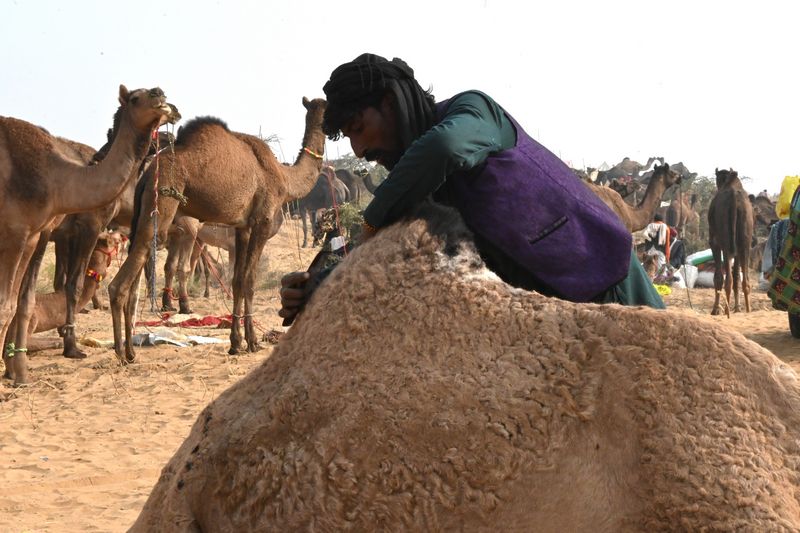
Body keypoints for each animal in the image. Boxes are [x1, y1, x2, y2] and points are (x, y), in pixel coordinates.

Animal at [0, 84, 174, 382]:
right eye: (135, 98)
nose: (160, 95)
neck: (58, 177)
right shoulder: (24, 231)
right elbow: (69, 285)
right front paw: (72, 347)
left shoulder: (36, 233)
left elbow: (22, 300)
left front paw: (17, 371)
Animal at [109, 96, 328, 362]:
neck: (285, 178)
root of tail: (146, 175)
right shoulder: (262, 222)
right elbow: (250, 280)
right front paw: (252, 342)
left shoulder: (242, 228)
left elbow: (237, 281)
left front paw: (236, 343)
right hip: (163, 199)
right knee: (124, 278)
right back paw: (122, 353)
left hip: (144, 209)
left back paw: (131, 349)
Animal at [708, 168, 752, 314]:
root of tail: (734, 199)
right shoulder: (738, 248)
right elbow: (737, 276)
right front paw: (738, 308)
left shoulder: (714, 243)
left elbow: (718, 277)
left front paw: (715, 310)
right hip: (745, 243)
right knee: (743, 281)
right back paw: (747, 310)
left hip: (726, 242)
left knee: (727, 279)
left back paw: (726, 311)